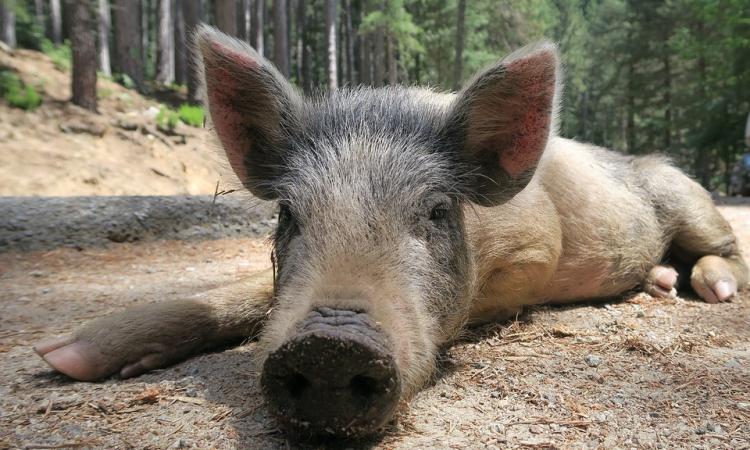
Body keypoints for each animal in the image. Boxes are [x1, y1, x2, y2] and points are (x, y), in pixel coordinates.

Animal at [33, 25, 748, 440]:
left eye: (434, 212)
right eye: (288, 213)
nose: (329, 347)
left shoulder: (536, 250)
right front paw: (62, 359)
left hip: (685, 195)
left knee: (724, 248)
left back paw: (710, 290)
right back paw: (658, 284)